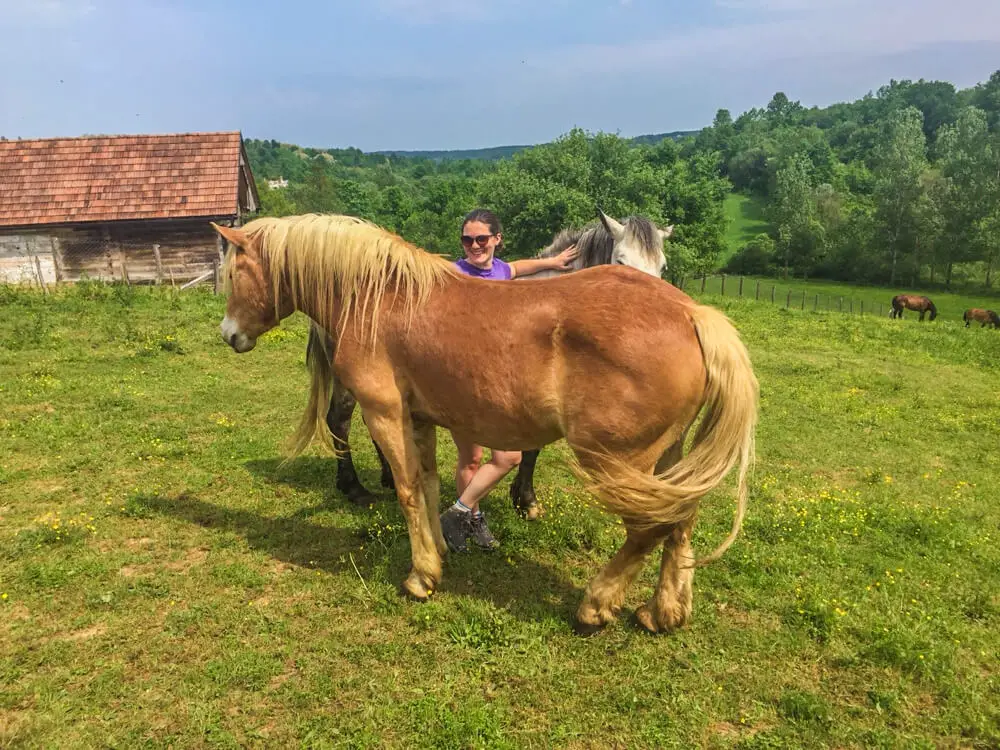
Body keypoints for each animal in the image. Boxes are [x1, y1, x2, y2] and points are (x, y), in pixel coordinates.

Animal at [213, 214, 756, 636]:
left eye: (234, 273)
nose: (229, 335)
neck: (380, 297)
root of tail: (690, 313)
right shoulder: (419, 419)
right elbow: (429, 484)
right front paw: (439, 550)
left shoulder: (387, 412)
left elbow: (409, 490)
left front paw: (422, 576)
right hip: (667, 455)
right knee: (681, 519)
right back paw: (663, 612)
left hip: (619, 461)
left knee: (649, 528)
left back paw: (595, 606)